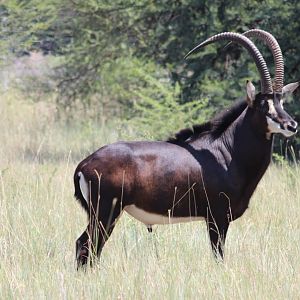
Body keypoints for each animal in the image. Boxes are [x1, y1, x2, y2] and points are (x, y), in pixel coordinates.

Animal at [73, 29, 298, 268]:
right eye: (264, 105)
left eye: (281, 102)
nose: (291, 125)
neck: (226, 151)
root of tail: (84, 165)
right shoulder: (217, 218)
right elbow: (218, 257)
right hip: (106, 214)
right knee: (86, 246)